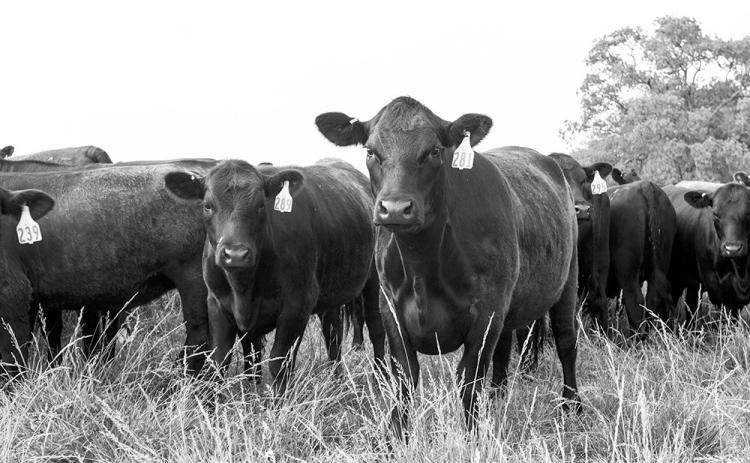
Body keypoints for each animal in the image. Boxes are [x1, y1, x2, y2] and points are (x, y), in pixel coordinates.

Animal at [163, 158, 385, 392]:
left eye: (261, 205)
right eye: (207, 205)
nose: (235, 254)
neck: (243, 288)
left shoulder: (297, 305)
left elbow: (279, 362)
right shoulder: (216, 303)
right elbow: (220, 361)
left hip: (374, 282)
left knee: (376, 328)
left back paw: (380, 380)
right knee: (332, 332)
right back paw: (337, 380)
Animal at [315, 97, 579, 438]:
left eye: (434, 151)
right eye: (371, 151)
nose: (395, 208)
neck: (424, 269)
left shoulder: (488, 311)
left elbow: (469, 378)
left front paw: (472, 436)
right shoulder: (390, 309)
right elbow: (405, 378)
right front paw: (396, 436)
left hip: (568, 279)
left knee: (566, 341)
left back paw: (572, 405)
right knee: (504, 350)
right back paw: (497, 397)